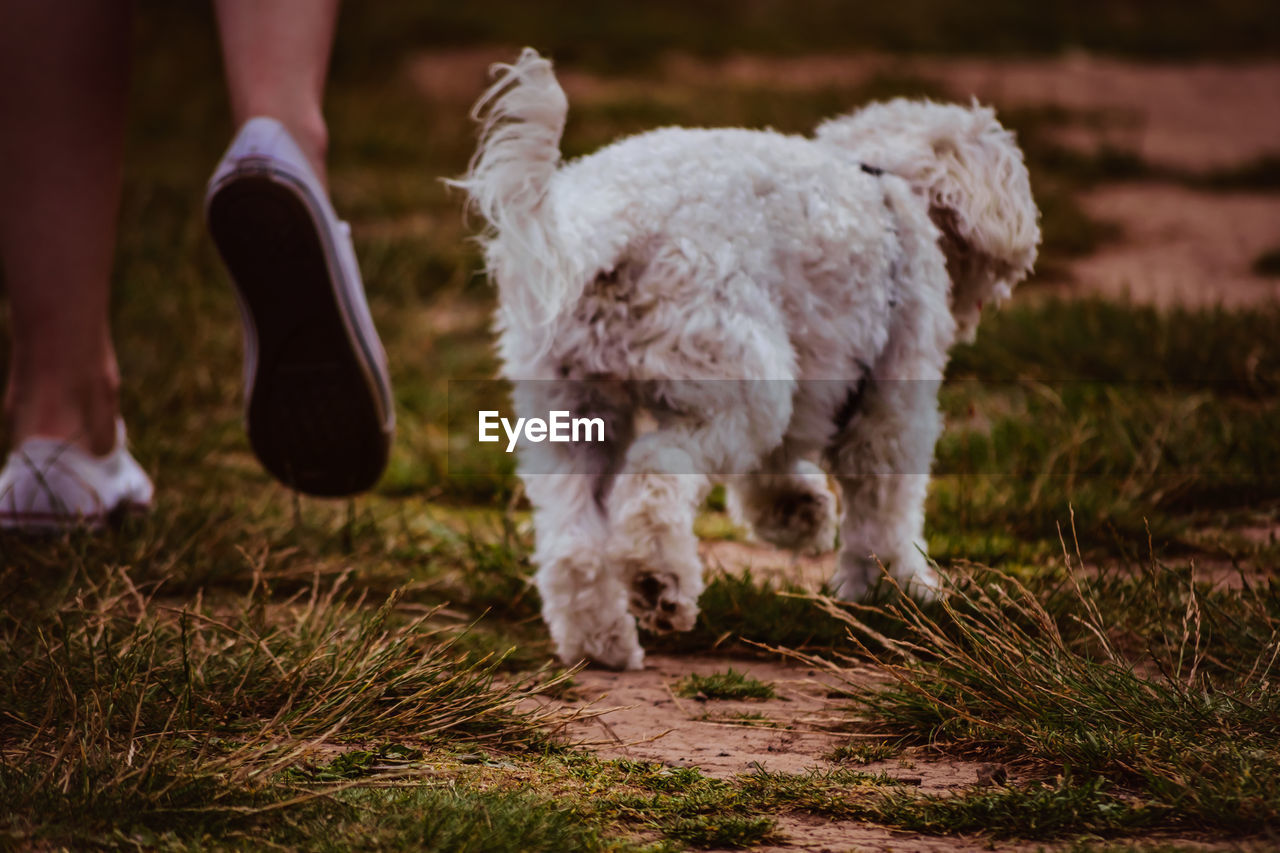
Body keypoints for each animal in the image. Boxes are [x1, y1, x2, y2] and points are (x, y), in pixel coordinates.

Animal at [455, 48, 1034, 671]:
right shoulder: (891, 401)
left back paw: (602, 643)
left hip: (571, 411)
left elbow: (775, 468)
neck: (891, 184)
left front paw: (797, 513)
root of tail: (610, 225)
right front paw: (895, 591)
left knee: (572, 541)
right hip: (738, 385)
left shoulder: (817, 362)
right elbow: (883, 506)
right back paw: (660, 583)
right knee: (655, 477)